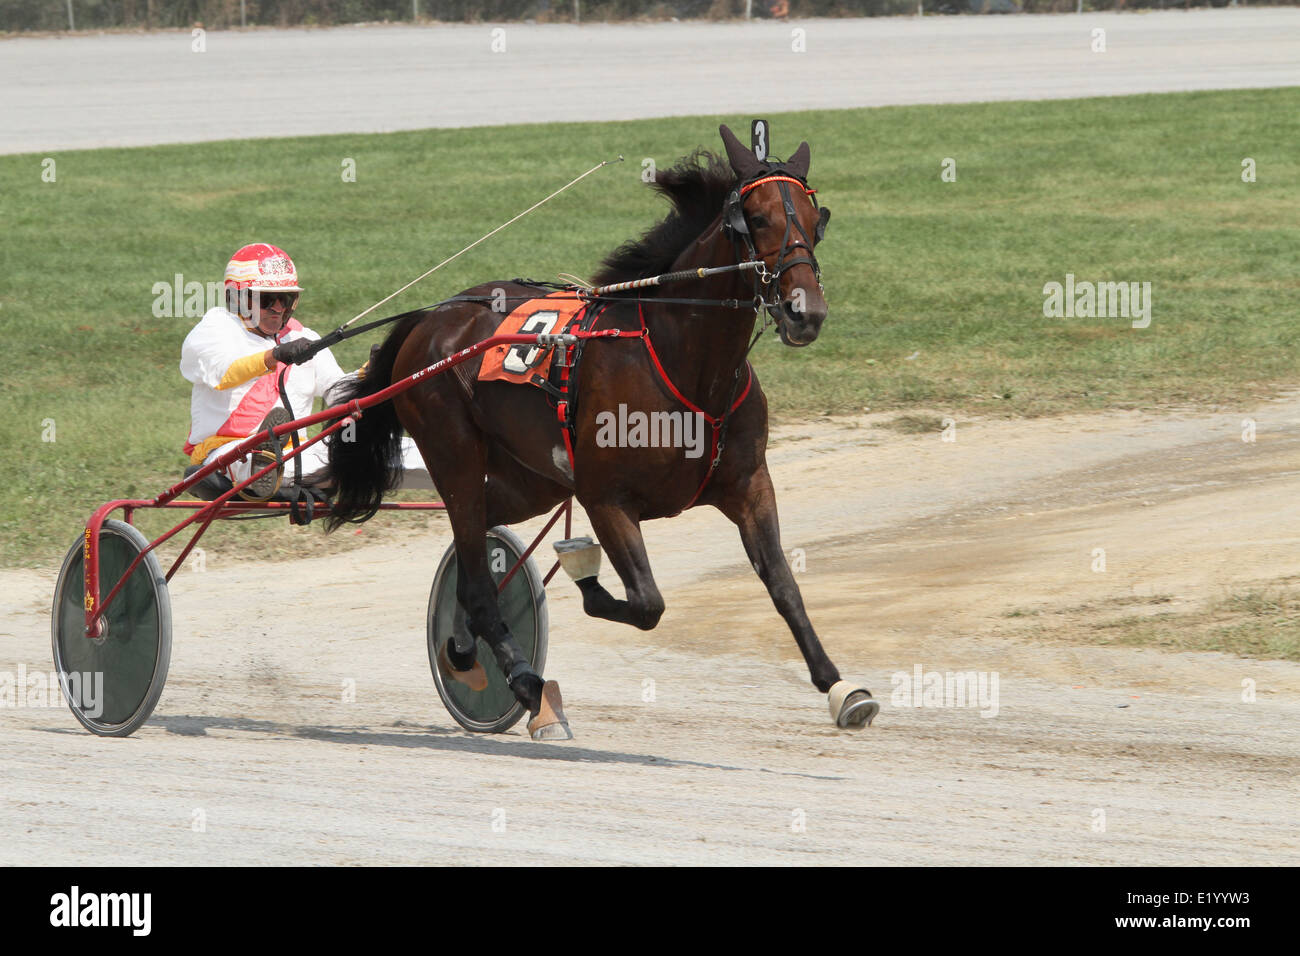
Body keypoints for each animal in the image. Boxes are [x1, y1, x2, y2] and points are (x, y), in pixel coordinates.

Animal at [325, 124, 880, 738]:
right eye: (755, 219)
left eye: (812, 217)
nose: (805, 312)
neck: (685, 364)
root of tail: (432, 318)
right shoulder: (605, 498)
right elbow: (647, 602)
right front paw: (588, 584)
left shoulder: (750, 485)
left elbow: (783, 583)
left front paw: (840, 687)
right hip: (455, 453)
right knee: (475, 568)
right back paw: (523, 682)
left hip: (532, 479)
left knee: (476, 556)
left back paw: (470, 647)